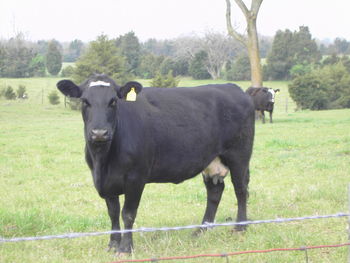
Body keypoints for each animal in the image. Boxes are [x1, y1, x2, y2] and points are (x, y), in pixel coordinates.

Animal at [56, 74, 254, 256]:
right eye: (85, 101)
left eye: (113, 101)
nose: (99, 133)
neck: (103, 161)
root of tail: (231, 87)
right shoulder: (105, 182)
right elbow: (113, 212)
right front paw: (112, 244)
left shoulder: (136, 178)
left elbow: (128, 213)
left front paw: (125, 248)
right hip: (211, 159)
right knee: (214, 191)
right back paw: (201, 230)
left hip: (239, 155)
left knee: (241, 189)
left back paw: (240, 227)